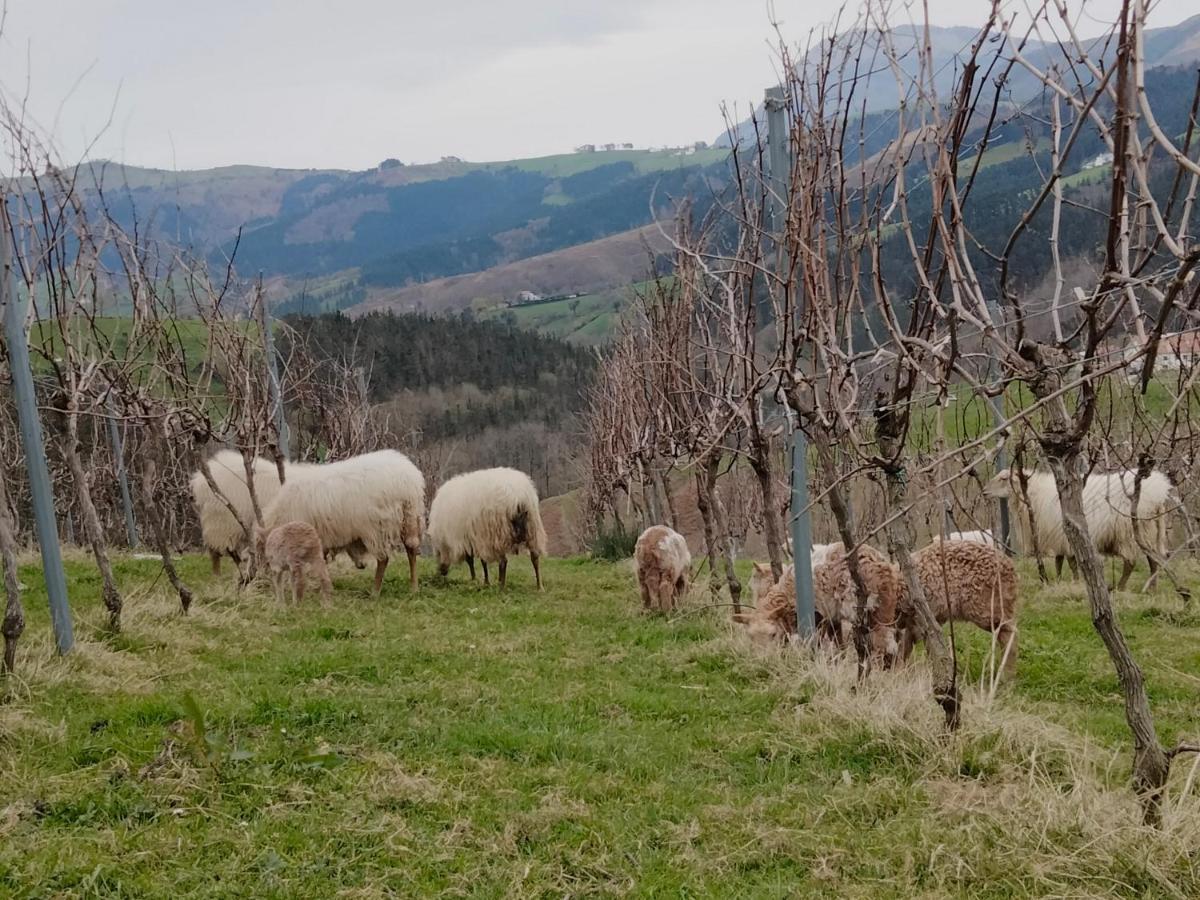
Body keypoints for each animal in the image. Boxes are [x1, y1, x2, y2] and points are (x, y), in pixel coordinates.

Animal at [262, 448, 427, 592]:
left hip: (379, 526)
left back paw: (375, 592)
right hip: (410, 518)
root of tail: (408, 480)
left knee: (383, 559)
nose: (362, 565)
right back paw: (414, 588)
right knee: (411, 549)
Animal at [984, 468, 1171, 588]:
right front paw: (1059, 581)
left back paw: (1120, 587)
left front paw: (1074, 581)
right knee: (1153, 560)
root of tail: (1159, 495)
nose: (985, 491)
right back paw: (1151, 588)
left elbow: (1070, 562)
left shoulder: (1064, 534)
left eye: (1003, 479)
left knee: (1130, 562)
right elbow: (1059, 561)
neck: (1032, 495)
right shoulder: (1058, 536)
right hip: (1148, 531)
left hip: (1129, 533)